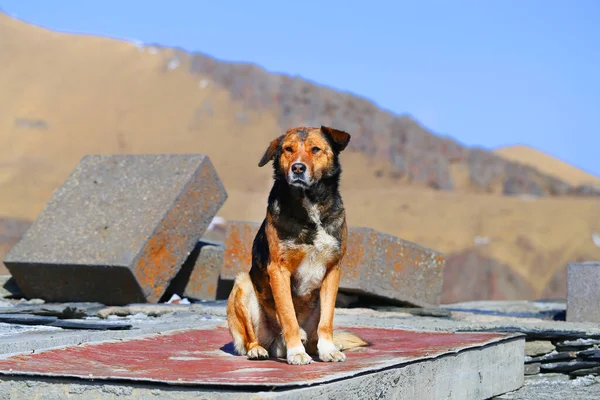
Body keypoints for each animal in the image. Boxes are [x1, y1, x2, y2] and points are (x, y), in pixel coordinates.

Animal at [225, 125, 366, 366]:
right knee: (250, 338)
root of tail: (275, 346)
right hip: (243, 285)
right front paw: (296, 353)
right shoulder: (279, 270)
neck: (310, 204)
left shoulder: (333, 270)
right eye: (288, 149)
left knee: (314, 335)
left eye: (315, 149)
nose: (298, 167)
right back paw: (259, 349)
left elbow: (327, 320)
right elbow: (288, 316)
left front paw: (328, 350)